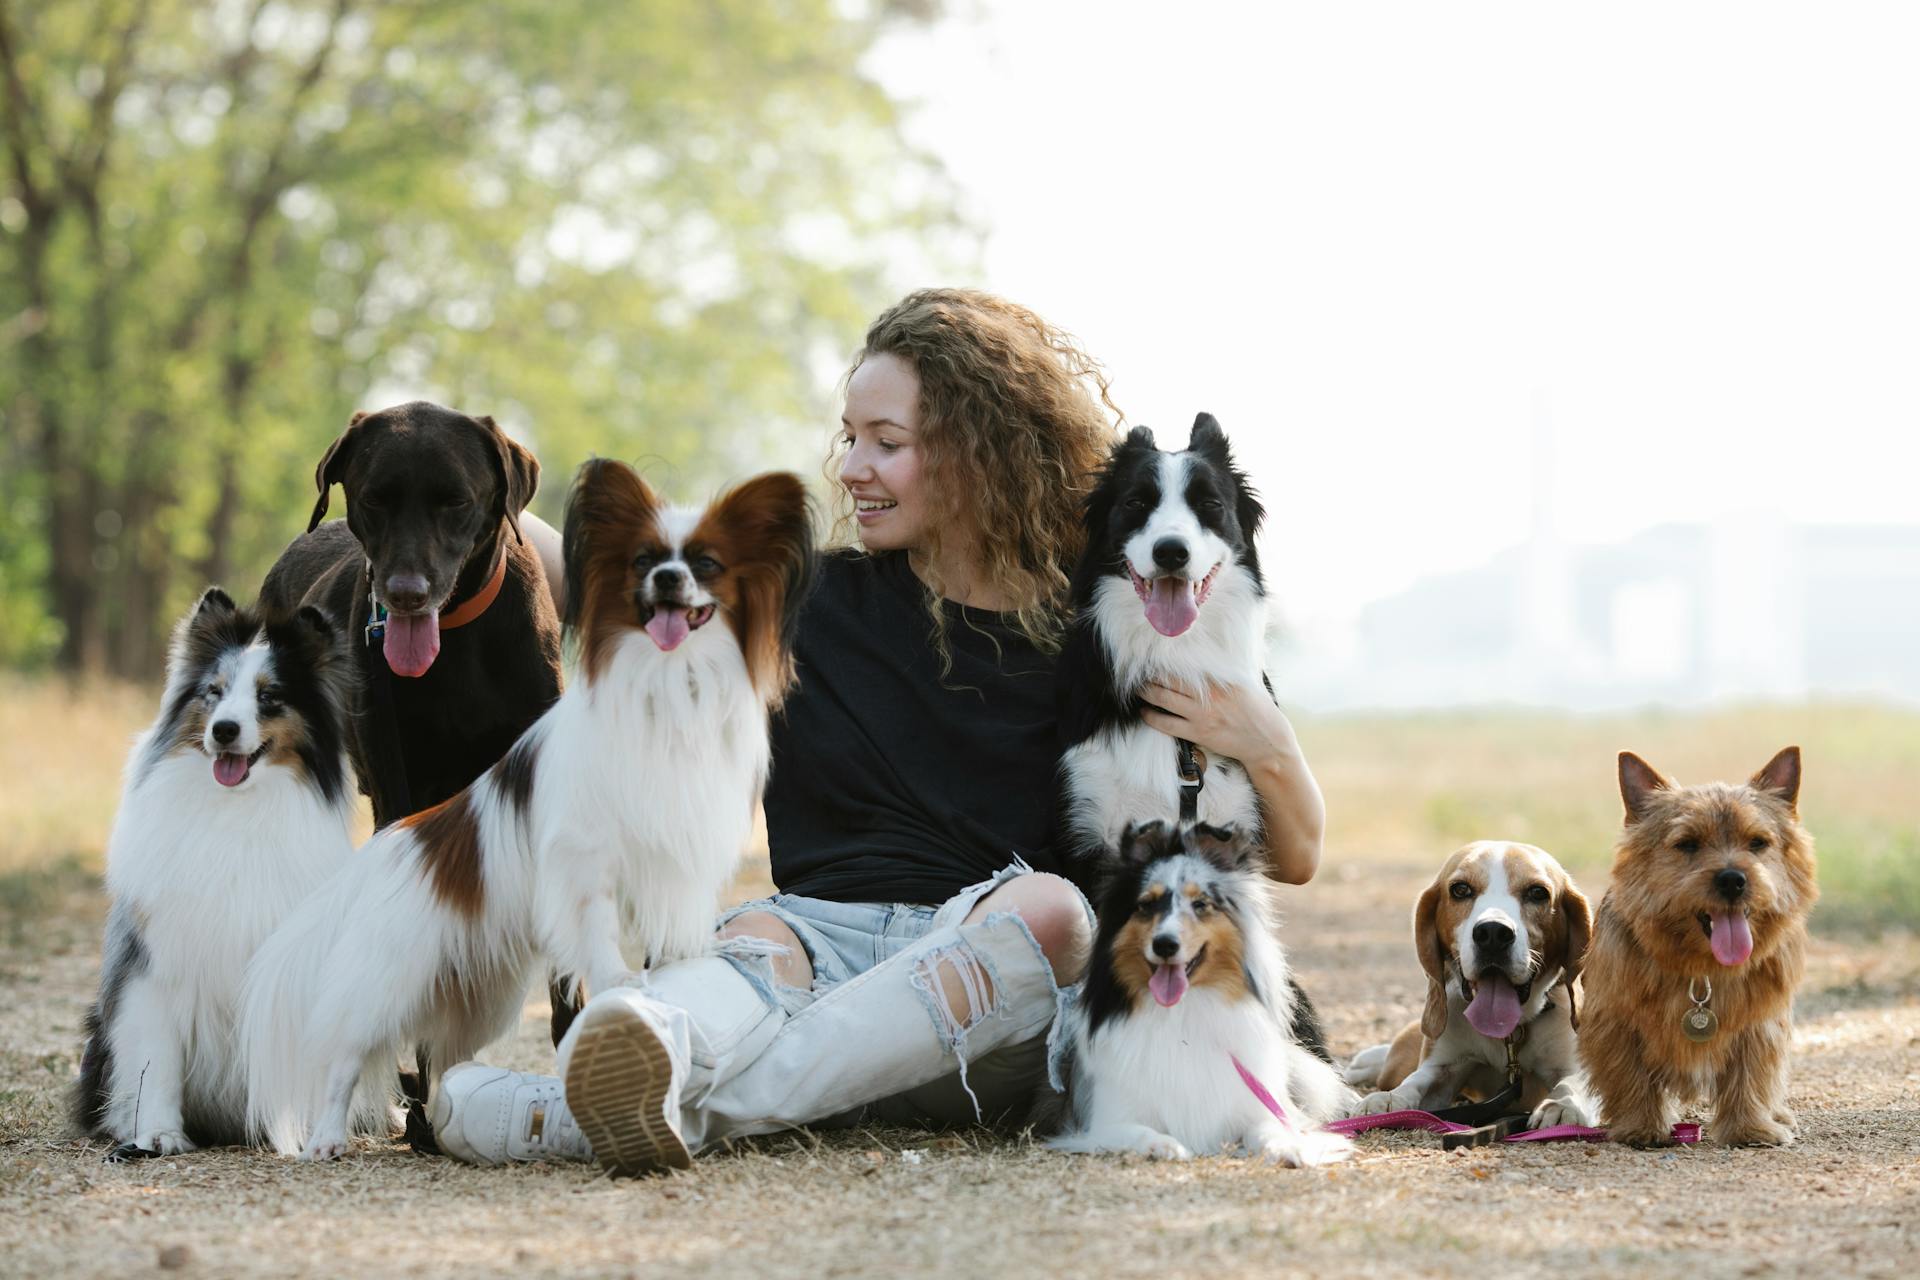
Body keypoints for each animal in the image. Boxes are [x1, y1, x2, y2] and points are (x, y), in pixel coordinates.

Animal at [73, 591, 360, 1159]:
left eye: (270, 697)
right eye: (214, 692)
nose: (224, 730)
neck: (236, 810)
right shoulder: (154, 967)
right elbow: (155, 1060)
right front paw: (158, 1134)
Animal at [240, 462, 810, 1159]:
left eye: (707, 563)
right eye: (644, 562)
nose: (669, 580)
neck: (668, 690)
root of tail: (387, 850)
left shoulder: (679, 854)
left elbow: (675, 934)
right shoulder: (584, 856)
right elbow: (597, 933)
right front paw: (621, 987)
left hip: (475, 997)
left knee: (442, 1055)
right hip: (388, 983)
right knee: (349, 1056)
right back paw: (328, 1138)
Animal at [1052, 825, 1351, 1166]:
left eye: (1201, 905)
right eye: (1146, 905)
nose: (1164, 944)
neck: (1182, 1012)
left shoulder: (1254, 1105)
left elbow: (1269, 1129)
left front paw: (1290, 1147)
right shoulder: (1106, 1121)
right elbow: (1140, 1133)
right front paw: (1166, 1146)